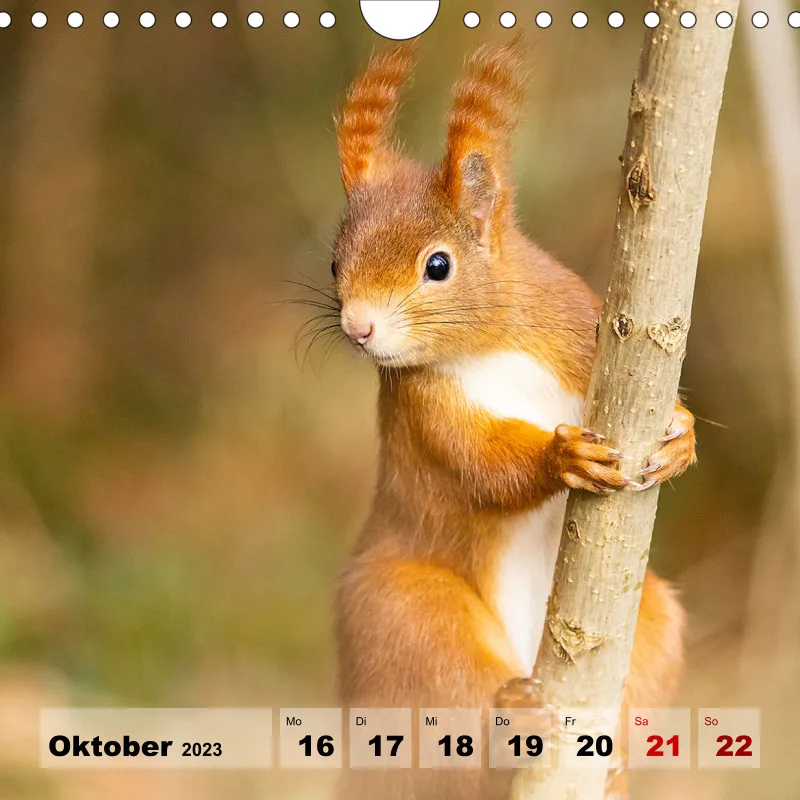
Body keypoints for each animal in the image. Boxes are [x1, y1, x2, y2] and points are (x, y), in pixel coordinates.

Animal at [329, 40, 695, 800]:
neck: (489, 343)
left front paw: (682, 432)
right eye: (335, 263)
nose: (358, 328)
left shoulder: (585, 329)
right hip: (406, 620)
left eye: (438, 265)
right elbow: (483, 467)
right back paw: (511, 720)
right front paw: (562, 460)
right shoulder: (423, 414)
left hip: (654, 622)